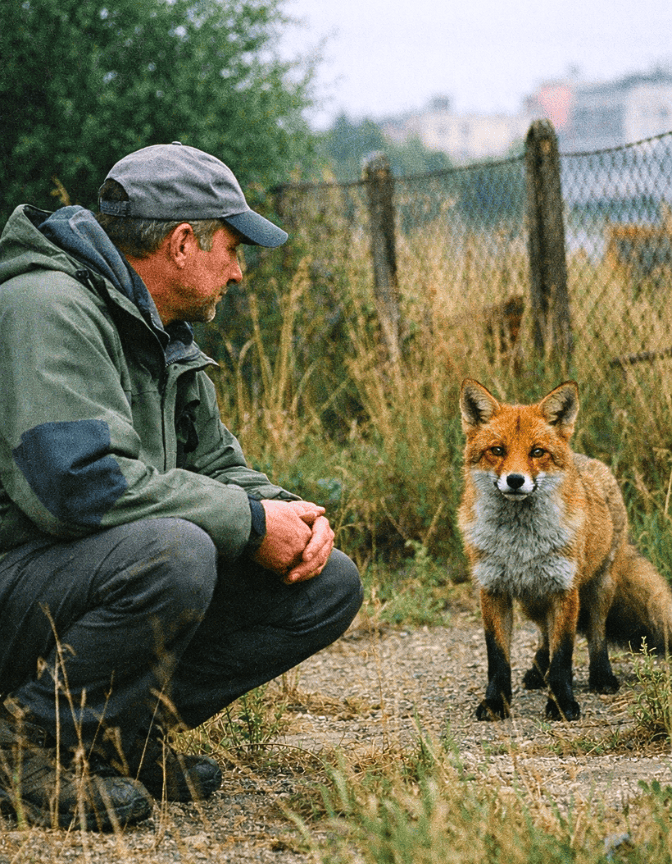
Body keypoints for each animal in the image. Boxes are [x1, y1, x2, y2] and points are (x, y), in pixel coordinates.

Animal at [458, 377, 672, 722]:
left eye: (537, 452)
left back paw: (601, 677)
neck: (520, 544)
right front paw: (495, 703)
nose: (515, 480)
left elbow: (564, 655)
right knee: (544, 634)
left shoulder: (564, 589)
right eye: (497, 451)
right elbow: (498, 658)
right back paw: (536, 671)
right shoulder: (492, 590)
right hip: (532, 599)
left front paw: (562, 703)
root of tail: (586, 459)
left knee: (596, 634)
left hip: (599, 587)